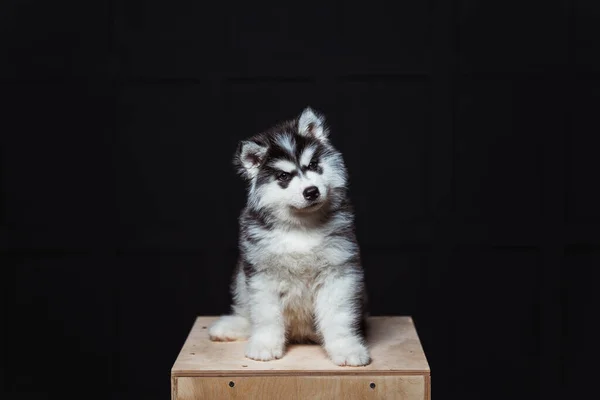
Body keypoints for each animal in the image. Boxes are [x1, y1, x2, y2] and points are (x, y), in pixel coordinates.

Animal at [210, 106, 370, 366]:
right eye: (284, 176)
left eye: (313, 165)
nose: (311, 191)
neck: (301, 228)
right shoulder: (262, 274)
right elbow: (265, 315)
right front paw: (265, 345)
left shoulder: (338, 271)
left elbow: (338, 316)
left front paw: (346, 348)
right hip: (241, 278)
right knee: (248, 313)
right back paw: (231, 327)